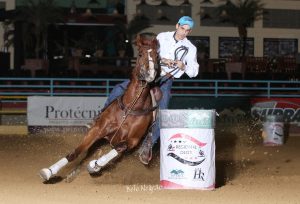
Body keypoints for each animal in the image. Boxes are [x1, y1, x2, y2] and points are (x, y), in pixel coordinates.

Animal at [40, 32, 162, 182]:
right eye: (139, 54)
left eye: (157, 57)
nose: (150, 73)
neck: (130, 108)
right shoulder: (97, 130)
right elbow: (75, 153)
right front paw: (49, 171)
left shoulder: (133, 141)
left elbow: (117, 149)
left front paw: (96, 165)